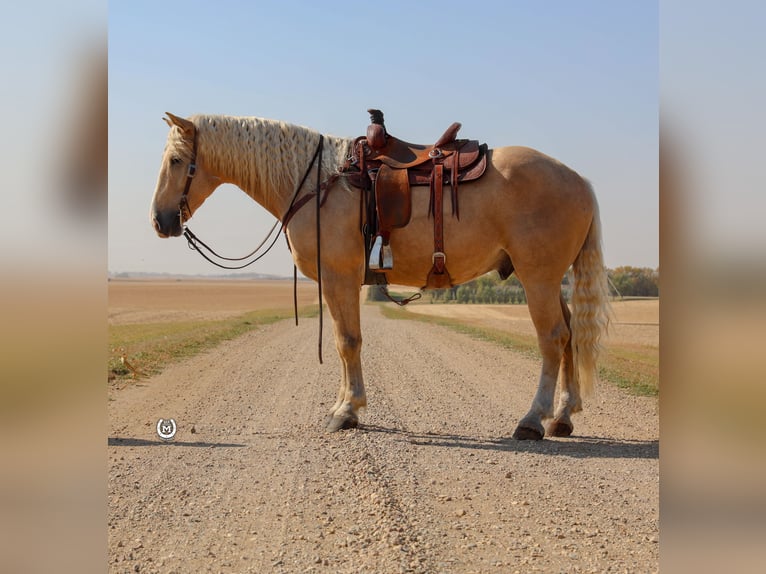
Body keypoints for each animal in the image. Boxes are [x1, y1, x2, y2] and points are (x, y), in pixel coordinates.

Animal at [150, 112, 610, 440]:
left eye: (175, 160)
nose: (159, 220)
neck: (318, 183)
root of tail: (580, 180)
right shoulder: (342, 281)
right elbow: (344, 342)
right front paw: (342, 406)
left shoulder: (339, 276)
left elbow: (346, 341)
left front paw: (347, 411)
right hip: (548, 280)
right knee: (569, 334)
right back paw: (563, 417)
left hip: (538, 278)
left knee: (552, 338)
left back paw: (532, 420)